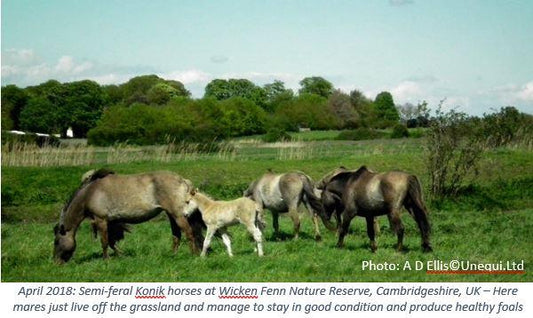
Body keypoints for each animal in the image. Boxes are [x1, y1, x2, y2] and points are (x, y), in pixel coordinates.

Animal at [53, 169, 204, 264]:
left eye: (56, 242)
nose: (55, 262)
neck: (91, 193)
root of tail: (182, 180)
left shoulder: (101, 220)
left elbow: (104, 242)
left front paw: (106, 260)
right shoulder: (111, 222)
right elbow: (112, 241)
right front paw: (122, 255)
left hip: (177, 214)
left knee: (189, 232)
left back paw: (194, 255)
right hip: (171, 214)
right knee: (176, 235)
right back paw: (173, 255)